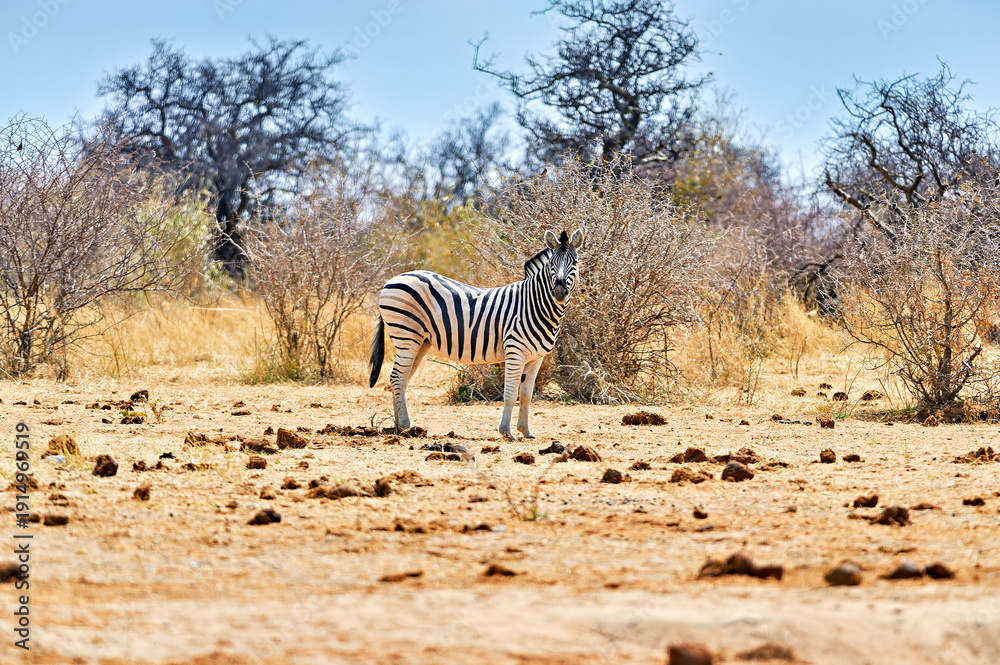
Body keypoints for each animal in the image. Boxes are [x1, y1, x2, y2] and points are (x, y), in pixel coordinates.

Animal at [369, 229, 585, 440]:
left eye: (574, 262)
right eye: (552, 264)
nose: (559, 292)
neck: (533, 305)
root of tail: (394, 279)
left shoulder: (536, 357)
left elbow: (526, 395)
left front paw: (525, 430)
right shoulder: (515, 351)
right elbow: (510, 393)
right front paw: (506, 431)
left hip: (421, 341)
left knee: (400, 379)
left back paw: (398, 426)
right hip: (406, 335)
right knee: (397, 377)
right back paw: (405, 425)